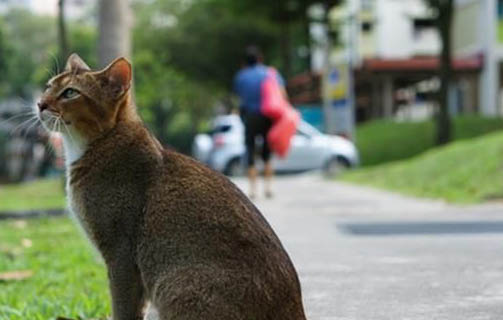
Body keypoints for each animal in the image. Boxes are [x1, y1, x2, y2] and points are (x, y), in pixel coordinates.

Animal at [37, 53, 308, 320]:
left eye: (70, 92)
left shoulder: (121, 254)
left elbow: (123, 308)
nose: (40, 103)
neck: (103, 141)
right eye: (49, 86)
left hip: (176, 282)